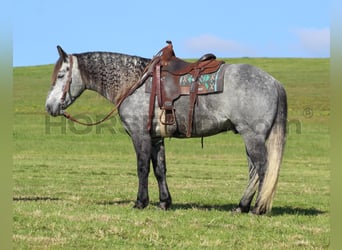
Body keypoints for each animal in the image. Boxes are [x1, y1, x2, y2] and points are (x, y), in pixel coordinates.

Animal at [45, 45, 286, 215]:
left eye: (61, 75)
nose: (49, 106)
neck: (133, 82)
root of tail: (273, 82)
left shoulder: (139, 135)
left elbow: (142, 168)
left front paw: (140, 202)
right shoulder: (156, 138)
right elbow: (160, 169)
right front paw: (164, 202)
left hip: (252, 136)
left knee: (262, 169)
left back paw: (256, 208)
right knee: (253, 171)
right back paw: (242, 206)